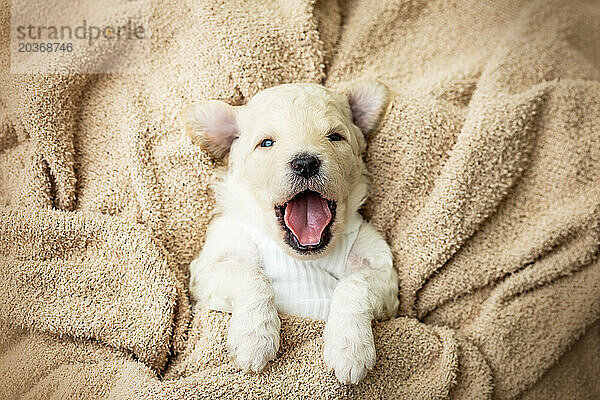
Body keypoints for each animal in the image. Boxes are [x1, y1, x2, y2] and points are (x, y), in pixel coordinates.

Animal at [186, 82, 398, 384]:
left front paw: (349, 349)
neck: (303, 257)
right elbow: (250, 274)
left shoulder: (384, 273)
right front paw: (254, 338)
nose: (305, 163)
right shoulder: (208, 268)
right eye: (266, 143)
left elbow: (356, 284)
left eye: (335, 137)